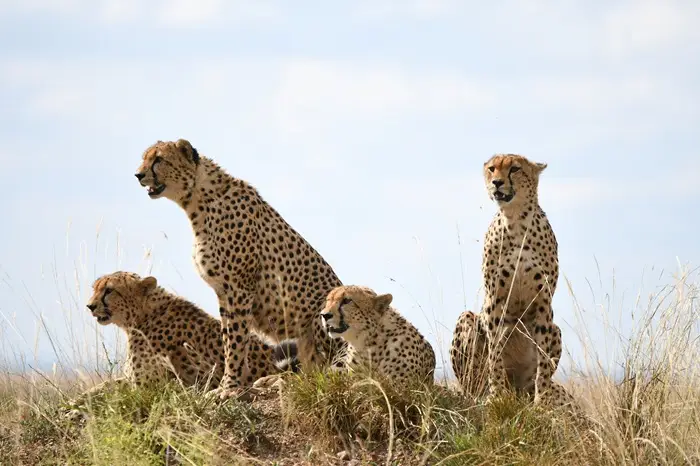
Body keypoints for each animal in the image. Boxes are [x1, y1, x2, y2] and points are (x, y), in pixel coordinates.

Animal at [134, 139, 347, 399]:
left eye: (159, 159)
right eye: (145, 158)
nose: (138, 174)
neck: (198, 201)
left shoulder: (239, 289)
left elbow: (236, 341)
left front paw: (229, 387)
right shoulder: (223, 292)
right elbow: (229, 339)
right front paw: (235, 382)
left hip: (322, 315)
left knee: (330, 372)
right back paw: (271, 380)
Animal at [450, 154, 575, 408]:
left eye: (515, 169)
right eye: (492, 169)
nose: (497, 182)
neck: (515, 219)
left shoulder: (543, 302)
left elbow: (543, 362)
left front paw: (541, 400)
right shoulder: (495, 301)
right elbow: (495, 352)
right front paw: (497, 395)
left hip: (555, 330)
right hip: (467, 319)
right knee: (473, 384)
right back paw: (483, 395)